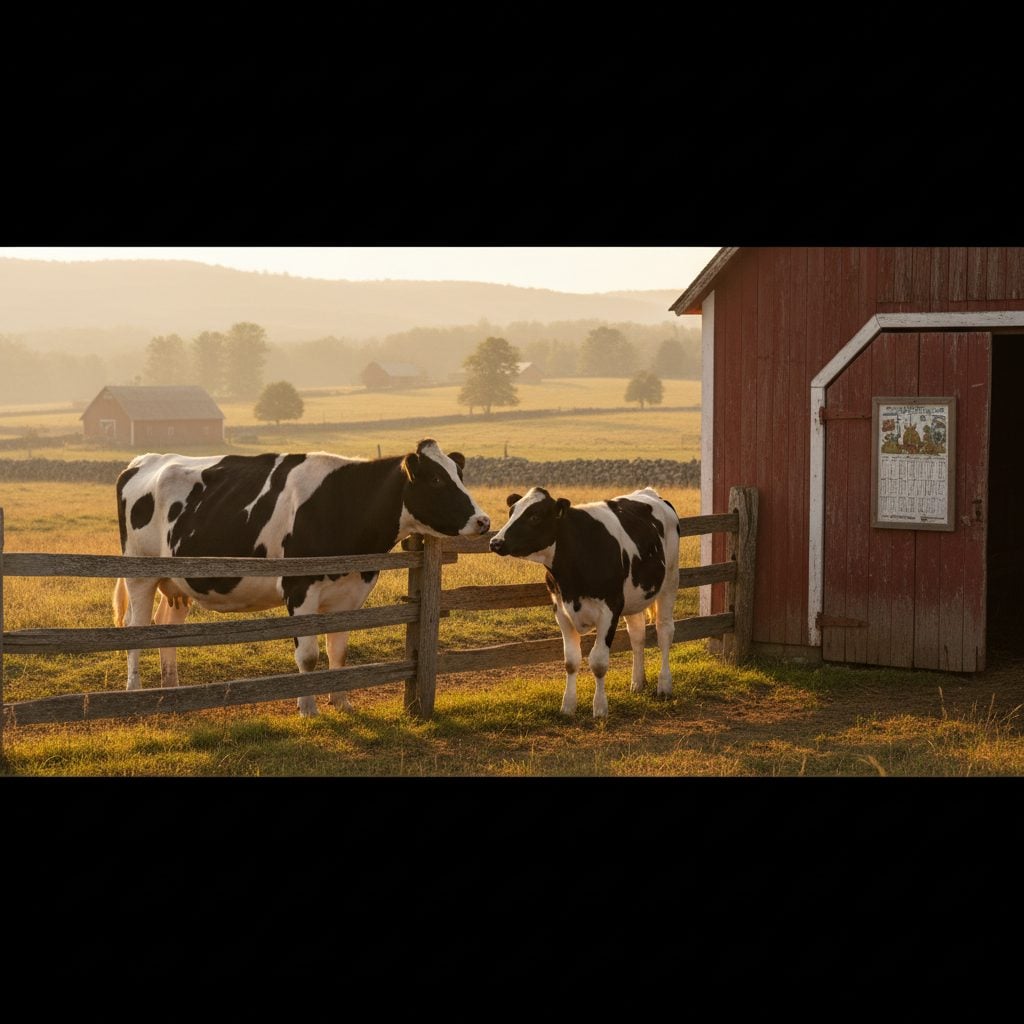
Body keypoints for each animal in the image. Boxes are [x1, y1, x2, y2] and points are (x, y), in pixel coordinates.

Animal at [112, 439, 490, 716]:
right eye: (437, 479)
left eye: (459, 474)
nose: (483, 520)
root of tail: (144, 461)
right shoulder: (299, 587)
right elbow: (308, 655)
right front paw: (308, 708)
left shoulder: (350, 592)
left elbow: (339, 652)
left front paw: (342, 702)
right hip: (140, 573)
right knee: (136, 629)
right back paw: (134, 692)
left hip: (177, 582)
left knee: (166, 626)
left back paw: (172, 691)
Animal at [488, 486, 680, 718]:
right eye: (511, 512)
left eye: (534, 516)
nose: (496, 542)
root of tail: (649, 492)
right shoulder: (561, 610)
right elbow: (571, 661)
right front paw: (568, 706)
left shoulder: (610, 609)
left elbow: (598, 662)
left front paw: (600, 708)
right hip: (635, 596)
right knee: (637, 635)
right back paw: (637, 683)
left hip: (670, 580)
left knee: (664, 632)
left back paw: (664, 685)